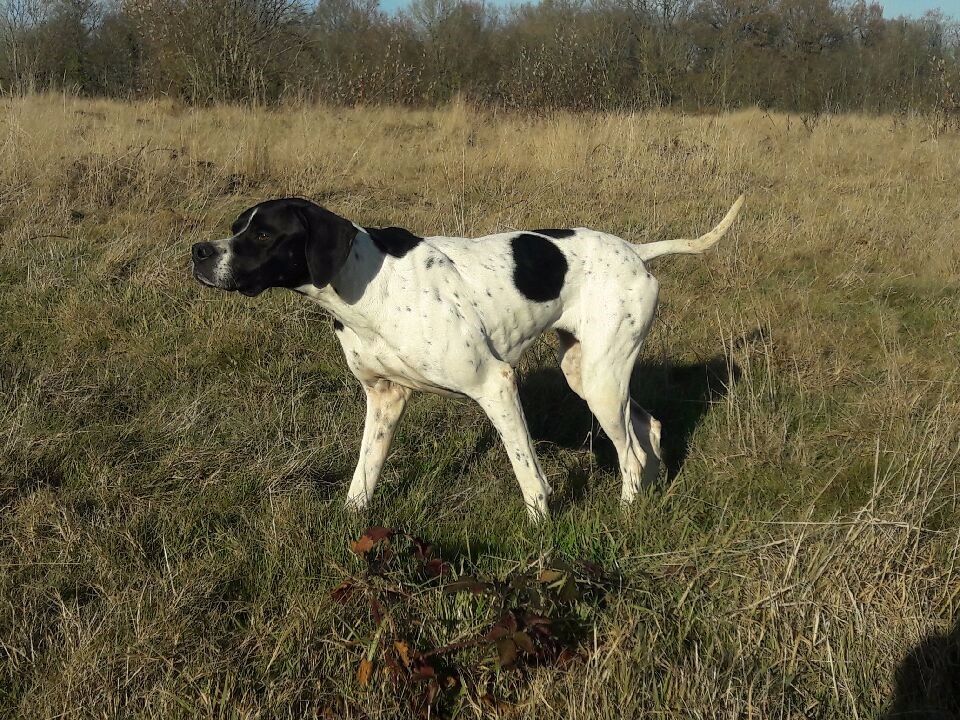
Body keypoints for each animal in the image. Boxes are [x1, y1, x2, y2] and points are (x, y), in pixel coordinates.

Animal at [191, 194, 748, 520]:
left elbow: (529, 474)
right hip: (589, 374)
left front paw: (540, 531)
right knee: (646, 428)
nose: (199, 251)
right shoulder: (385, 397)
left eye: (264, 233)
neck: (366, 284)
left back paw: (628, 514)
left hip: (601, 381)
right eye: (237, 226)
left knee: (629, 452)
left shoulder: (496, 383)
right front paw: (351, 526)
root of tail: (637, 251)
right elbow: (364, 474)